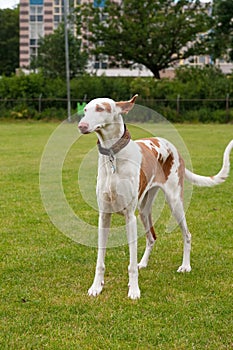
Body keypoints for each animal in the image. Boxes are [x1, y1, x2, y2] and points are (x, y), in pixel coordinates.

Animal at [78, 94, 233, 300]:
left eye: (101, 109)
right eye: (85, 110)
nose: (81, 125)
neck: (112, 155)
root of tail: (174, 148)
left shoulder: (130, 218)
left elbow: (130, 264)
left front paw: (134, 290)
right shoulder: (104, 216)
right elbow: (100, 261)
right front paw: (96, 287)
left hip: (174, 203)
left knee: (187, 234)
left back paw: (185, 266)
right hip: (144, 210)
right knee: (152, 237)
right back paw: (143, 263)